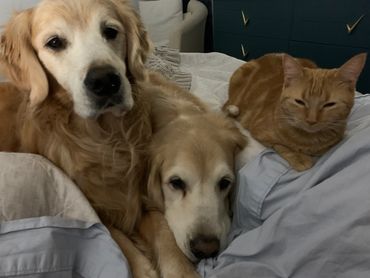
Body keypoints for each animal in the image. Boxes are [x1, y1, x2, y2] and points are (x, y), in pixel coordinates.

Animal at [224, 51, 366, 169]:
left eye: (329, 104)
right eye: (299, 102)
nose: (311, 120)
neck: (308, 140)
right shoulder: (259, 131)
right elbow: (282, 145)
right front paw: (300, 159)